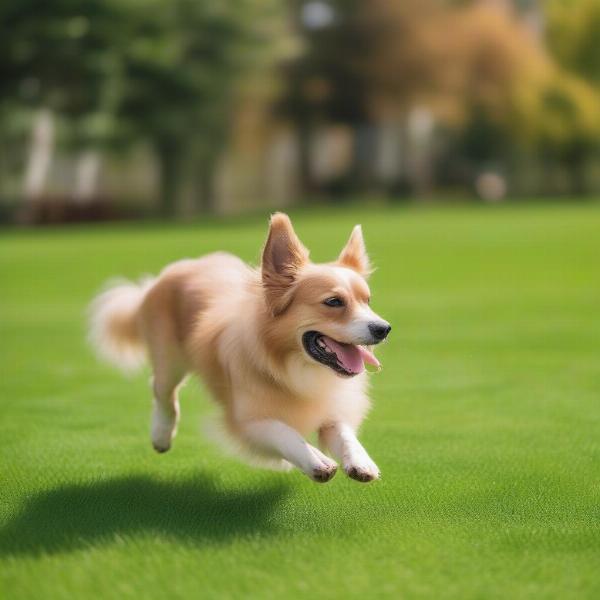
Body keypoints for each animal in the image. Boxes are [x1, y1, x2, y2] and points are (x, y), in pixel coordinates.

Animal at [89, 213, 390, 480]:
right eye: (333, 302)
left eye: (367, 301)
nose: (383, 329)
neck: (293, 365)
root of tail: (175, 269)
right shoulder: (247, 420)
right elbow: (283, 432)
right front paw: (314, 458)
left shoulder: (329, 407)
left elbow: (343, 433)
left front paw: (361, 461)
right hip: (169, 361)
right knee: (163, 392)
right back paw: (161, 434)